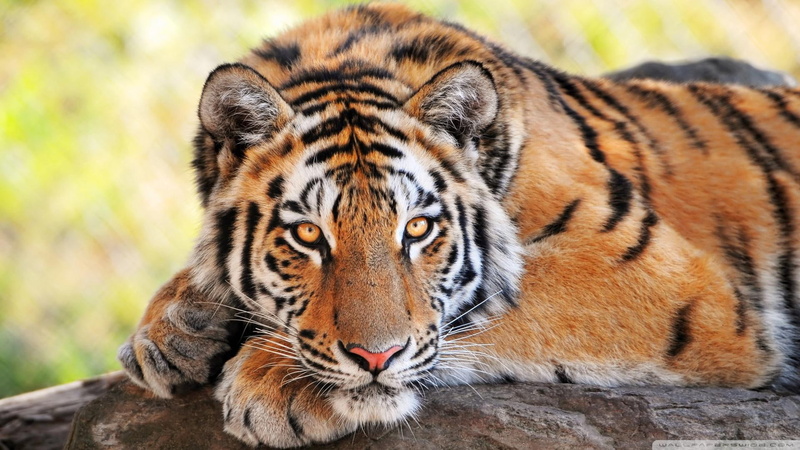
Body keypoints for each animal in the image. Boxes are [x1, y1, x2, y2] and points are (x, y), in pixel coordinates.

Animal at [117, 4, 800, 448]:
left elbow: (486, 308)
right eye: (308, 235)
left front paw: (273, 381)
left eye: (417, 229)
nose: (375, 357)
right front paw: (173, 328)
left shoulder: (663, 278)